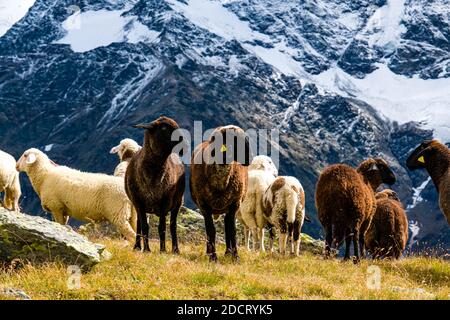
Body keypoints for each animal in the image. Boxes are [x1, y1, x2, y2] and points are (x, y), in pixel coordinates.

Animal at [124, 116, 185, 254]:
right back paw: (137, 246)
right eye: (164, 128)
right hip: (138, 205)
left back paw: (175, 249)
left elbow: (162, 227)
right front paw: (146, 249)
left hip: (177, 203)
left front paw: (162, 250)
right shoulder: (139, 201)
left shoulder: (164, 202)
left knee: (173, 226)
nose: (185, 146)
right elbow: (144, 227)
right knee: (139, 225)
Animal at [190, 124, 253, 262]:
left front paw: (236, 257)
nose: (250, 159)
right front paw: (213, 257)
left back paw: (228, 252)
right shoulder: (204, 205)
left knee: (226, 226)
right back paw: (209, 252)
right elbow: (211, 230)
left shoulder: (235, 204)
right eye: (233, 140)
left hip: (228, 206)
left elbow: (232, 231)